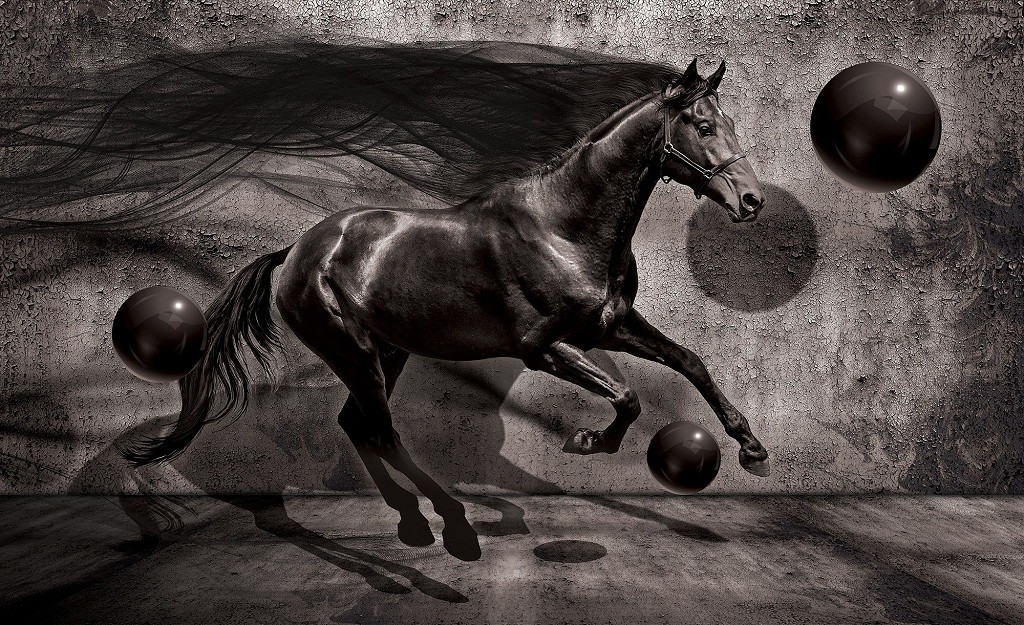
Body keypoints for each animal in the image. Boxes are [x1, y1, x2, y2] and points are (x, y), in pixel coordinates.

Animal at [123, 57, 771, 561]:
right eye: (704, 124)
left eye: (731, 121)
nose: (751, 200)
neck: (564, 228)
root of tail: (298, 251)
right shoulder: (544, 348)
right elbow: (628, 396)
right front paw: (587, 441)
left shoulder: (609, 327)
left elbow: (690, 362)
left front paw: (753, 450)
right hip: (354, 354)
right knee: (381, 433)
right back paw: (452, 528)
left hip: (388, 352)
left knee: (358, 427)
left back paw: (414, 523)